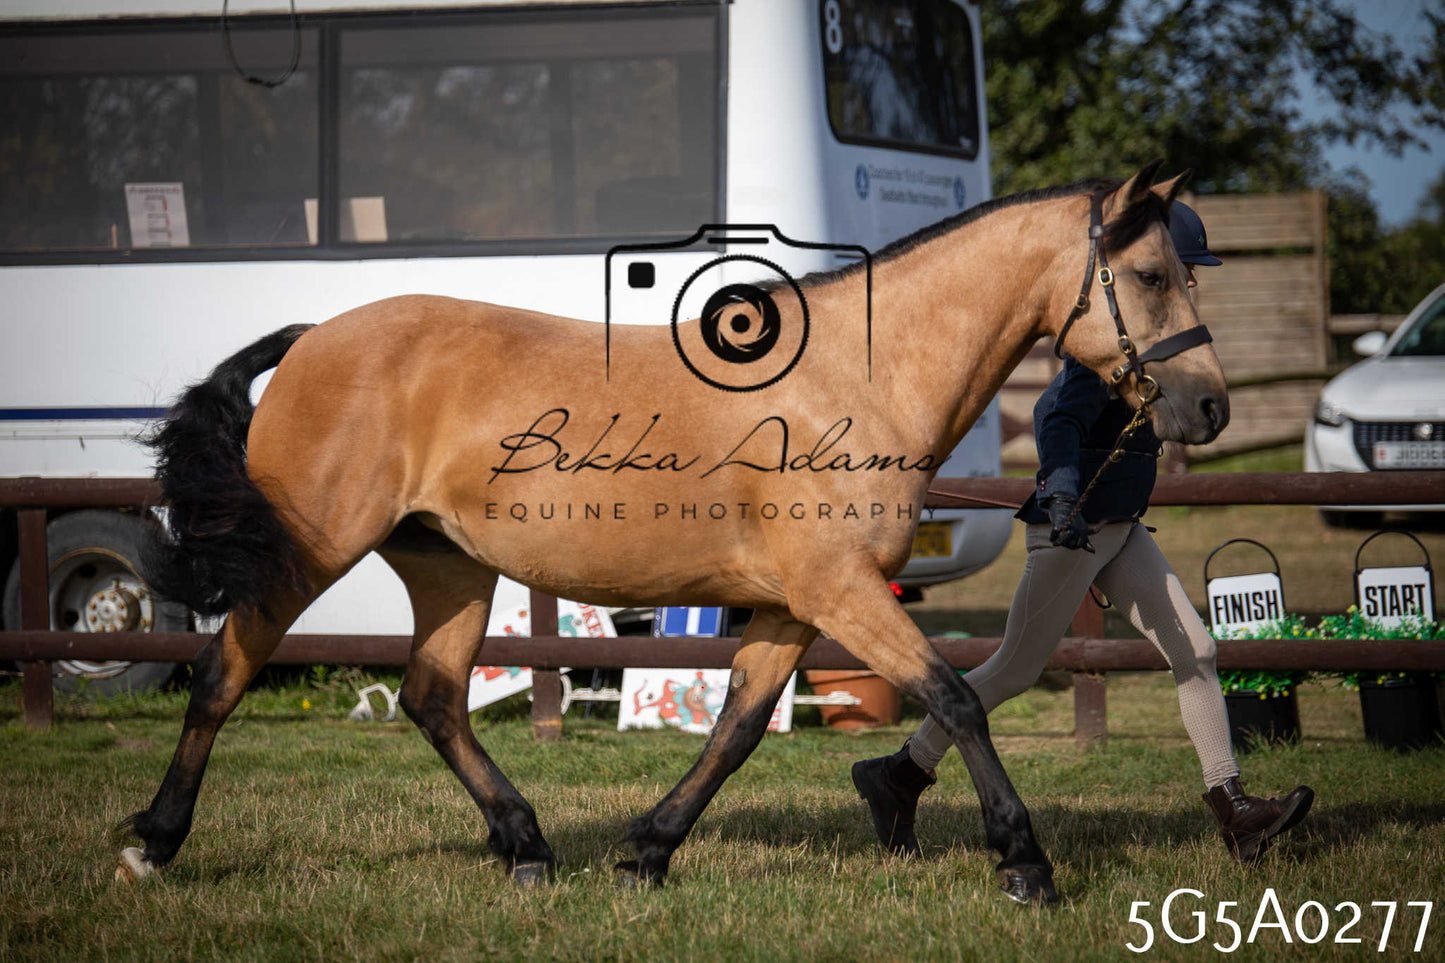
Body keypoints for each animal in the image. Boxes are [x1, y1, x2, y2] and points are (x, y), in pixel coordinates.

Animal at [117, 162, 1227, 906]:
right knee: (222, 676)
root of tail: (312, 339)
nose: (1208, 406)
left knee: (432, 698)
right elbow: (954, 700)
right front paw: (1024, 864)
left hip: (449, 567)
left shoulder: (791, 607)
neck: (855, 377)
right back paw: (152, 844)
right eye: (1149, 274)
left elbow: (736, 728)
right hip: (305, 553)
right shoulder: (839, 593)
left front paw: (647, 852)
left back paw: (528, 849)